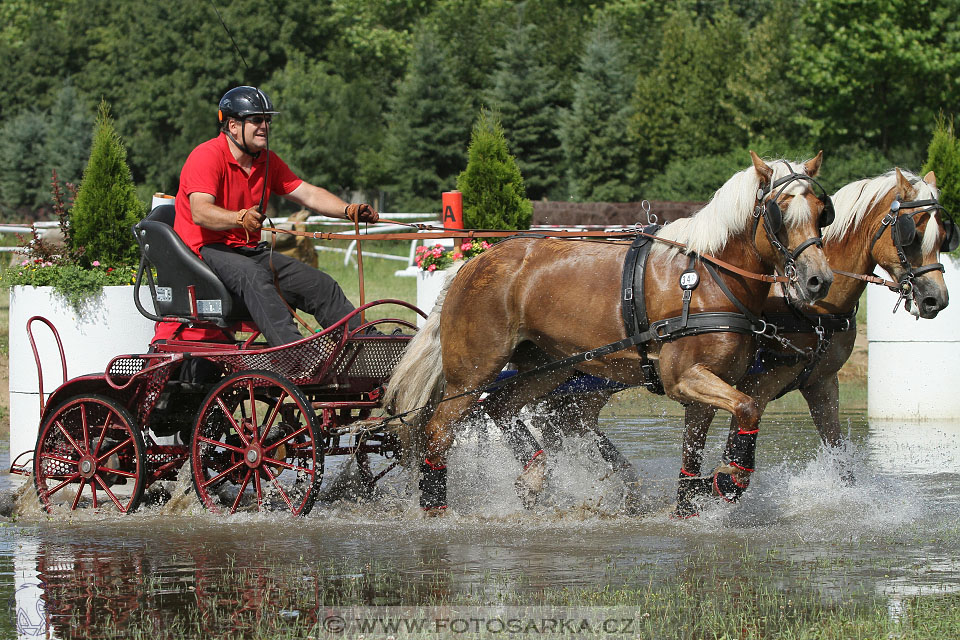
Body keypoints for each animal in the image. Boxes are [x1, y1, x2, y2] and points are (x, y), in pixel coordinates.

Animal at [386, 151, 836, 516]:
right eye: (778, 213)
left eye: (821, 210)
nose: (818, 280)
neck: (708, 277)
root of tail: (473, 263)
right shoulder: (683, 378)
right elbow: (748, 407)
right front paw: (731, 478)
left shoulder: (709, 386)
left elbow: (695, 455)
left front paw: (694, 503)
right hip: (473, 372)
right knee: (438, 433)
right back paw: (435, 509)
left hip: (547, 366)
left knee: (498, 408)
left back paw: (534, 476)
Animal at [532, 169, 952, 516]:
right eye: (912, 232)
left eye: (943, 235)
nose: (936, 299)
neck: (806, 306)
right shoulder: (757, 385)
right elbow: (735, 444)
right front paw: (715, 485)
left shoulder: (821, 383)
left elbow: (839, 456)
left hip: (591, 379)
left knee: (567, 421)